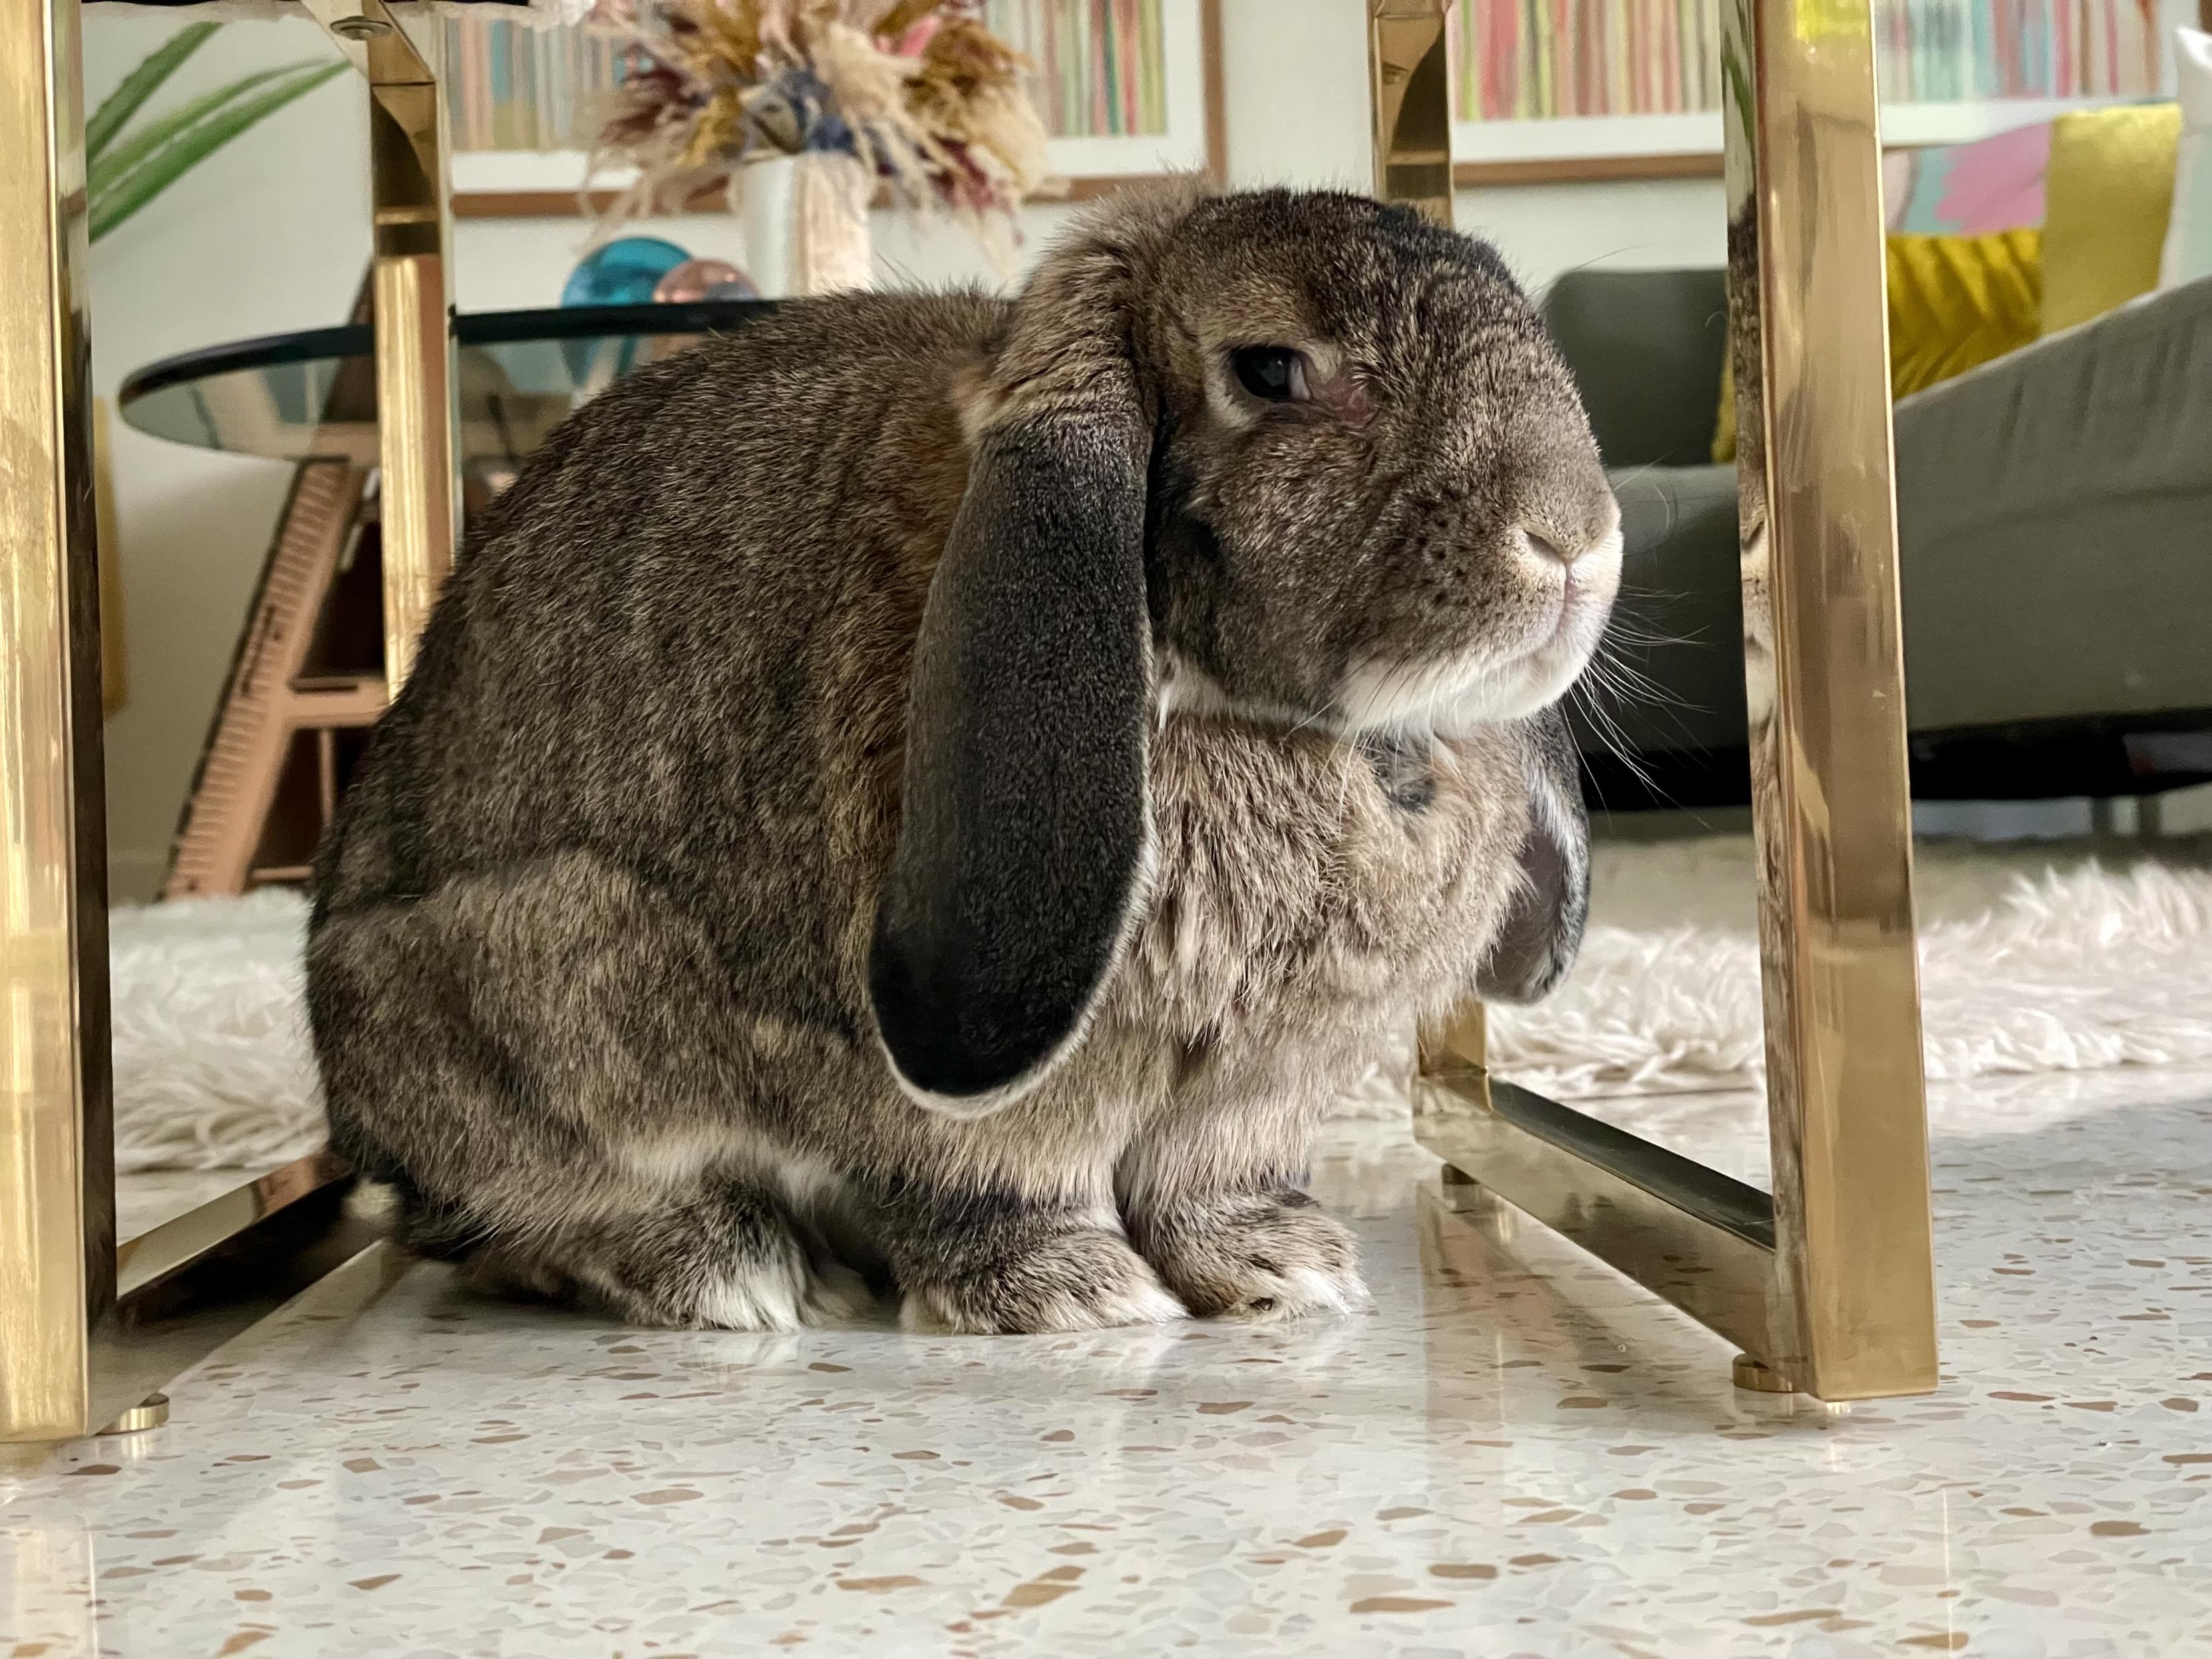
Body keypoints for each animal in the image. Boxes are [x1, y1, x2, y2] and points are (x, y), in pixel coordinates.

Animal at [305, 182, 1623, 1336]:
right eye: (1269, 369)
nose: (1573, 535)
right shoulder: (981, 1099)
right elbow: (990, 1177)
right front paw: (1071, 1290)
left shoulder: (1249, 1099)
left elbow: (1211, 1181)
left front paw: (1282, 1266)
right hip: (538, 977)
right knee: (510, 1219)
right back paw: (725, 1267)